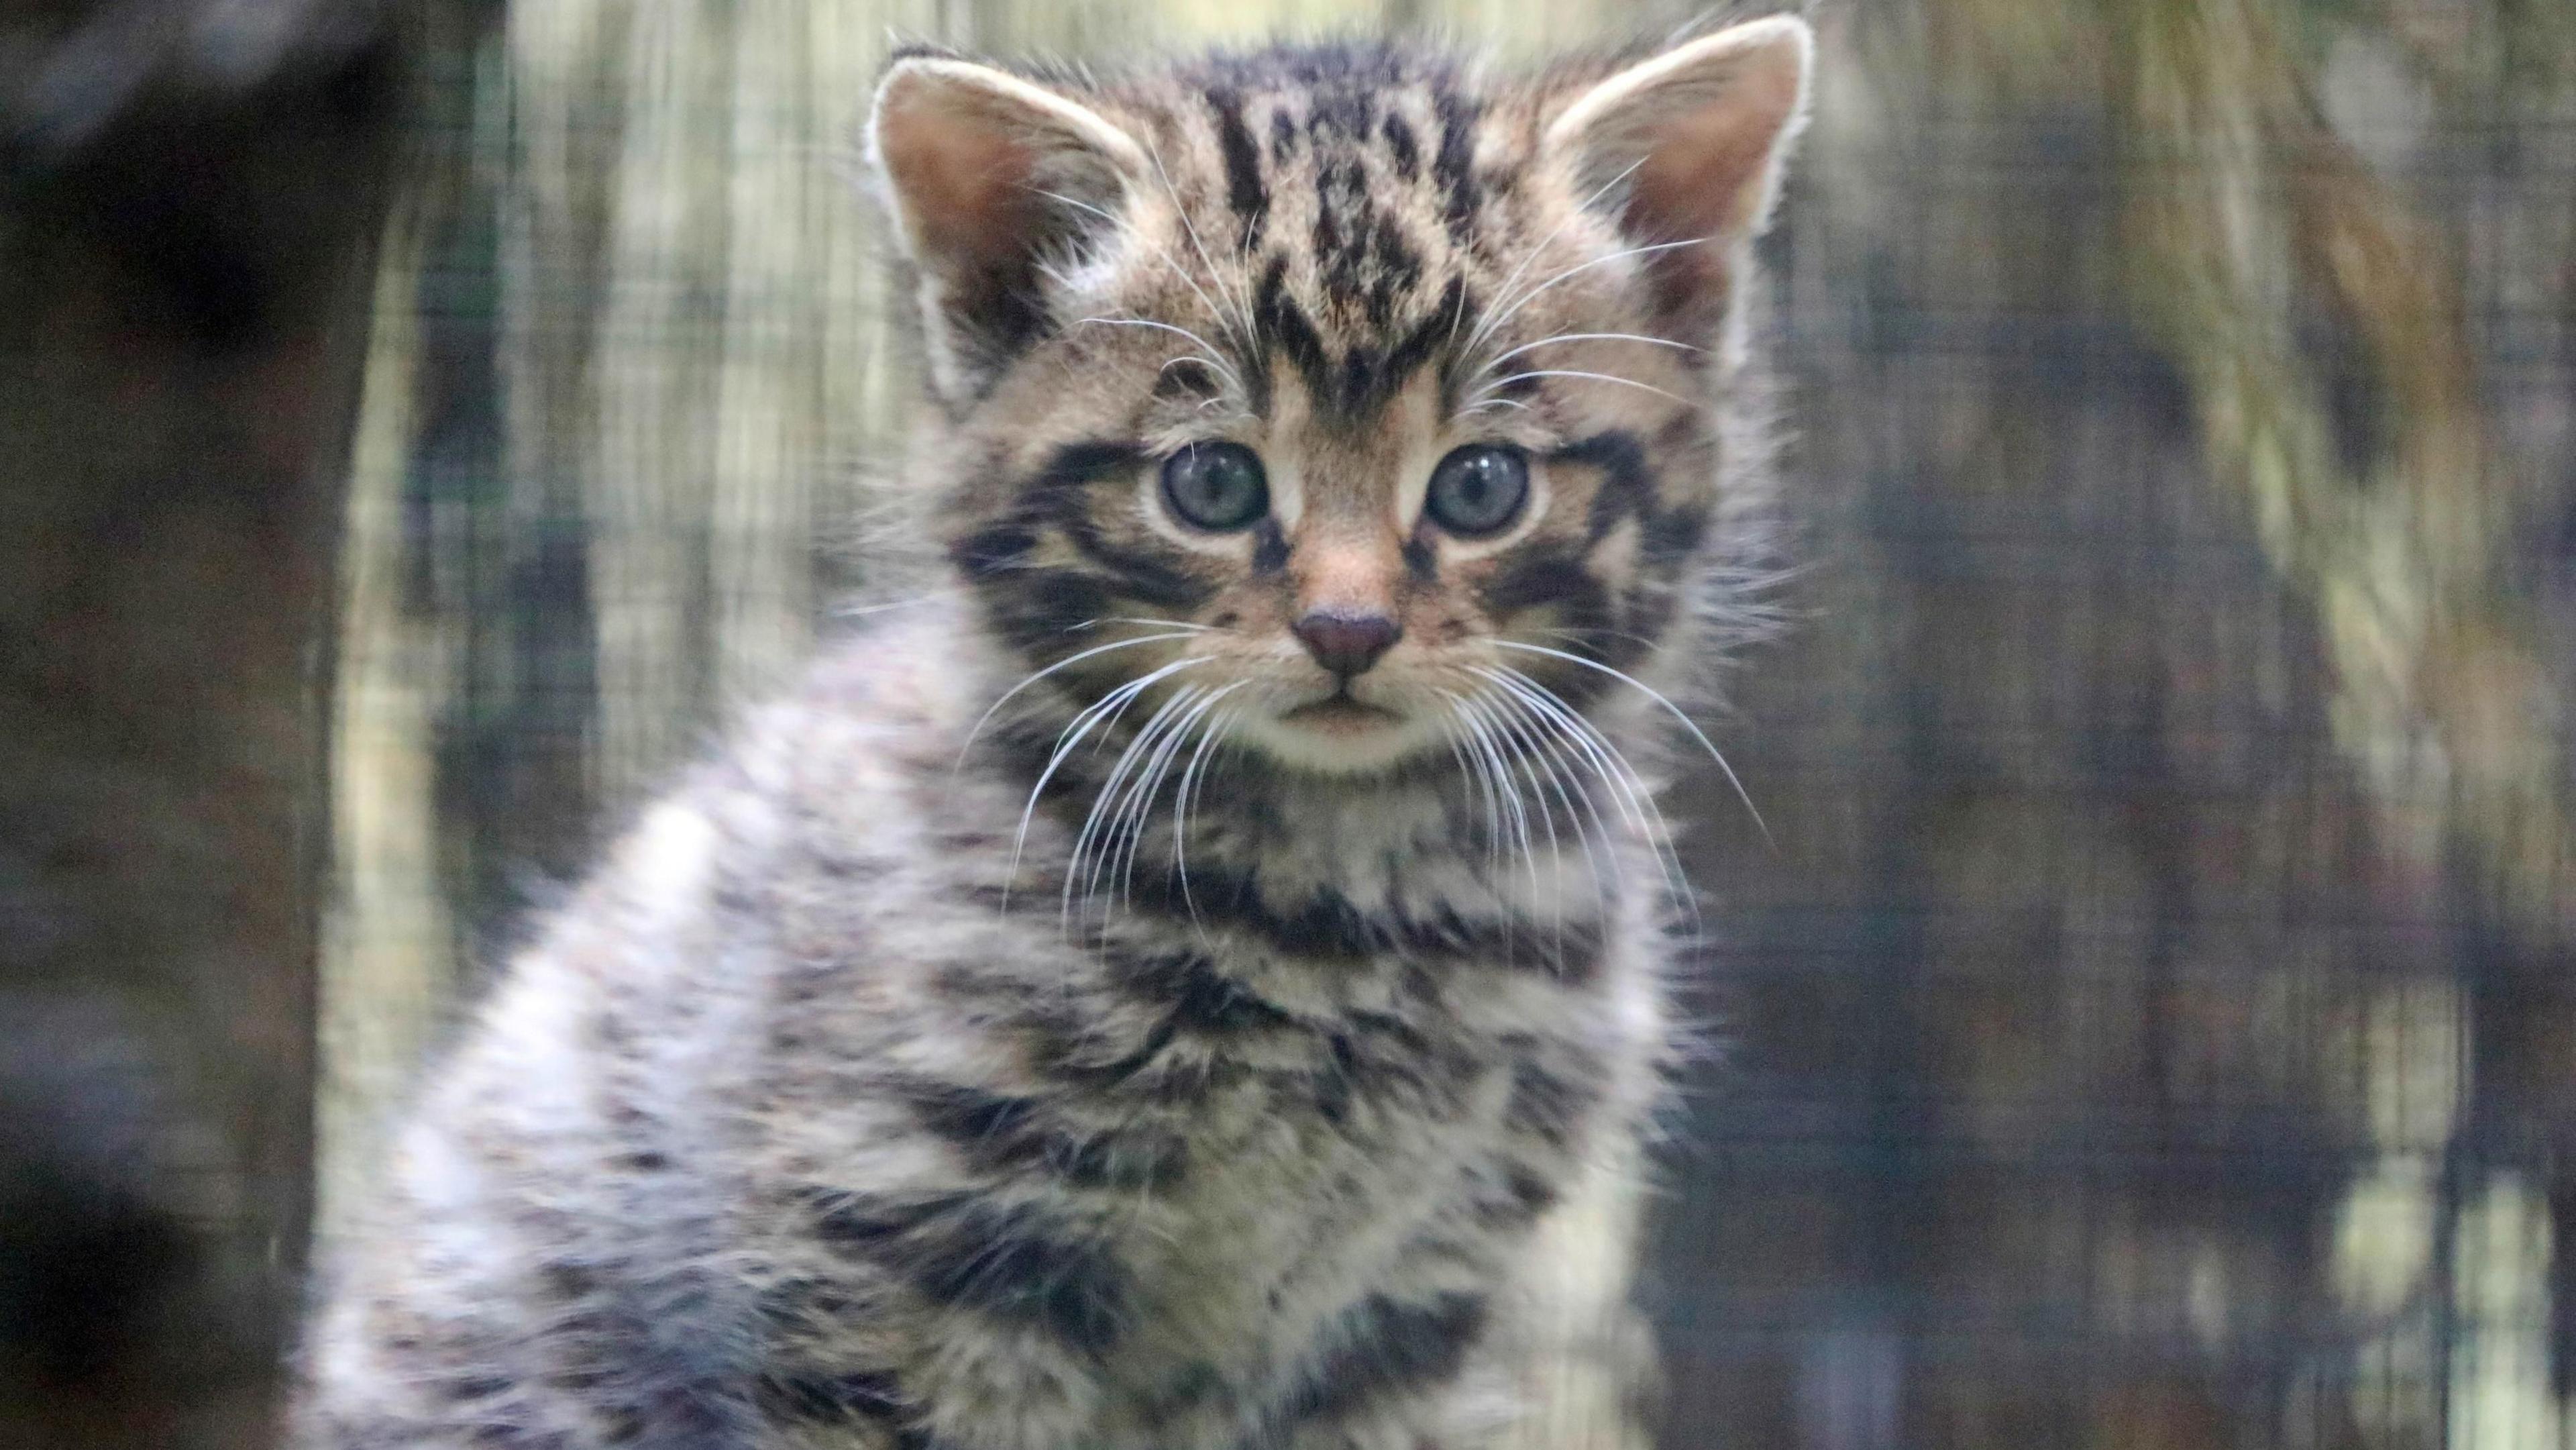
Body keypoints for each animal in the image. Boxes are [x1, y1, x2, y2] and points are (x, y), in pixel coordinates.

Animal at [292, 14, 1813, 1450]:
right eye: (1211, 485)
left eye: (1482, 486)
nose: (1347, 629)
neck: (1352, 897)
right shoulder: (900, 1247)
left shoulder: (1398, 1318)